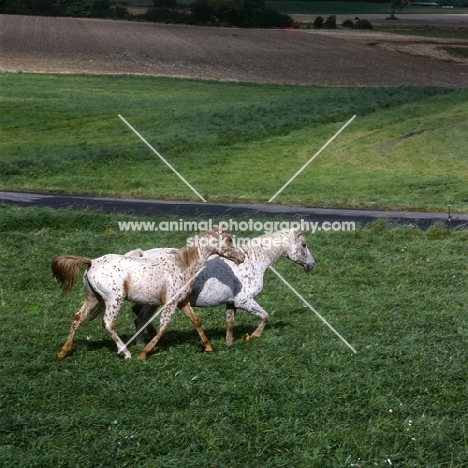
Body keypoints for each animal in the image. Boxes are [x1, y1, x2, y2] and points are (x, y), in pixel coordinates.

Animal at [52, 229, 245, 358]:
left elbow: (196, 321)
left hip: (93, 299)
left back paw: (63, 352)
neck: (182, 265)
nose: (241, 257)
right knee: (108, 323)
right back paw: (126, 352)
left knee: (77, 318)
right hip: (114, 300)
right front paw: (144, 353)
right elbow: (163, 327)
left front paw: (208, 347)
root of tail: (91, 262)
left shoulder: (182, 302)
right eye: (229, 240)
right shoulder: (170, 304)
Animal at [130, 229, 316, 346]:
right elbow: (265, 316)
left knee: (138, 315)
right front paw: (251, 336)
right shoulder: (244, 301)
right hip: (154, 302)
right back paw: (142, 344)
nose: (311, 265)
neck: (253, 261)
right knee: (140, 319)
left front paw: (229, 344)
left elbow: (230, 324)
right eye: (304, 244)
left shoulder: (231, 303)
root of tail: (142, 254)